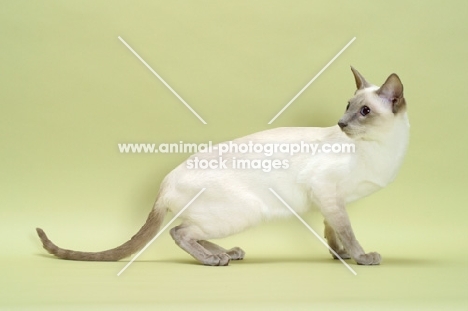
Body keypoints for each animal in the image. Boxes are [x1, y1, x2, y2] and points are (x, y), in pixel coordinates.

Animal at [37, 67, 410, 266]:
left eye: (363, 111)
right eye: (348, 107)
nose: (341, 123)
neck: (382, 151)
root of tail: (166, 179)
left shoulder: (330, 201)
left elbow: (333, 233)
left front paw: (342, 257)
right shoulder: (327, 191)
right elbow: (347, 232)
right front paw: (361, 257)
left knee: (190, 229)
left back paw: (228, 252)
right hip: (244, 211)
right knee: (179, 231)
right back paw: (213, 259)